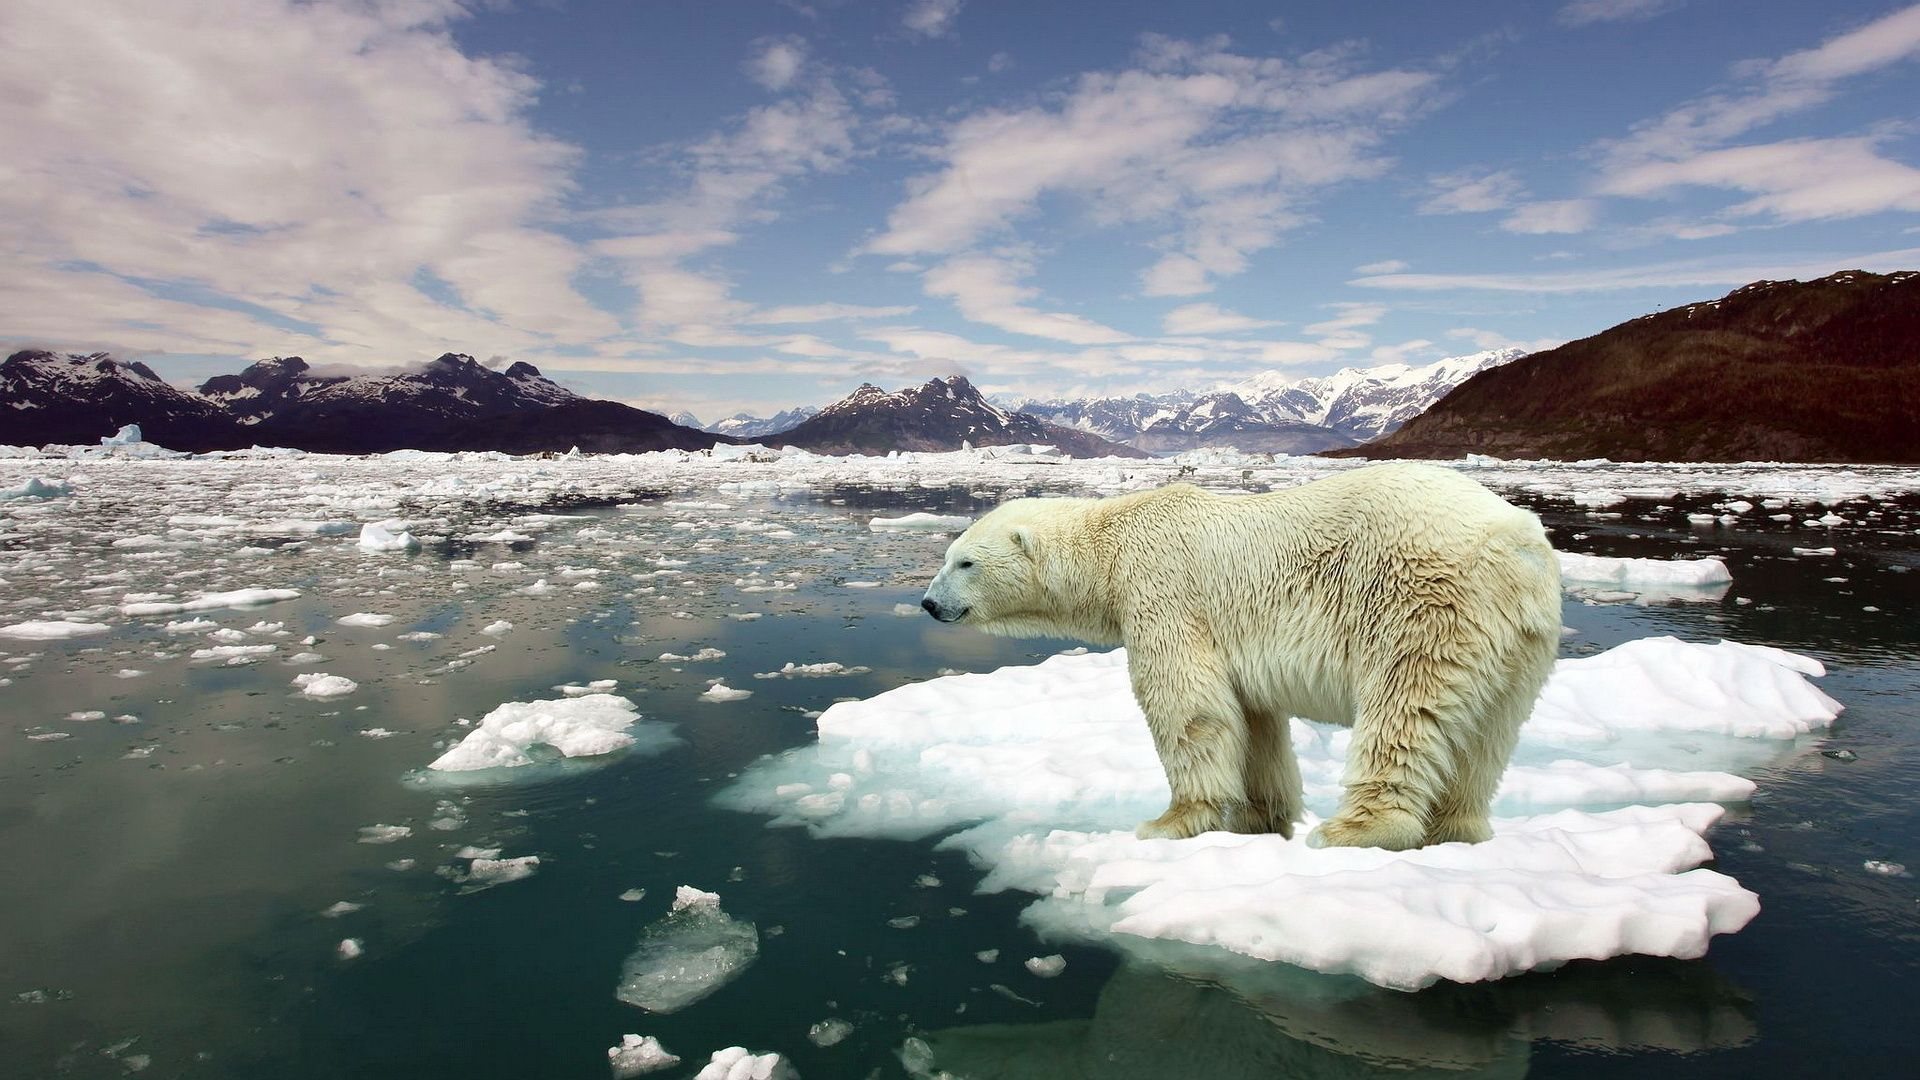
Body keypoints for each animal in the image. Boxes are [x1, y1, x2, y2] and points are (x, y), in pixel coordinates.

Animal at [921, 463, 1566, 849]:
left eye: (964, 562)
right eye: (949, 555)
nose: (928, 603)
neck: (1113, 543)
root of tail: (1518, 542)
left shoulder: (1164, 592)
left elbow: (1188, 706)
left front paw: (1170, 822)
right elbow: (1254, 722)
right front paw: (1261, 818)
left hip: (1424, 602)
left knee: (1405, 708)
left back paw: (1355, 829)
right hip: (1521, 641)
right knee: (1487, 734)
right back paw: (1457, 829)